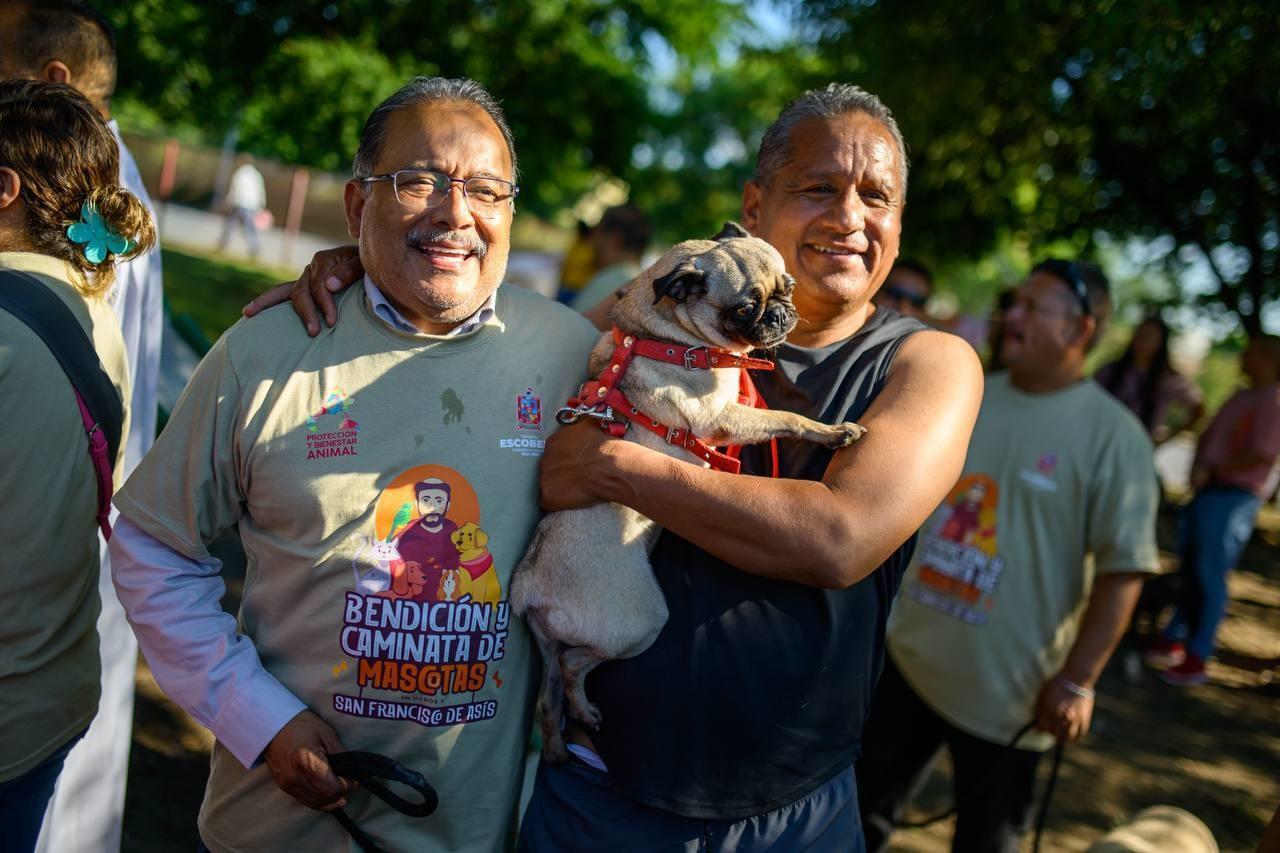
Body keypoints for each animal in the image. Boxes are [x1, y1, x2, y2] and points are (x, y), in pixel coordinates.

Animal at [504, 219, 865, 758]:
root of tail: (530, 582)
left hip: (547, 647)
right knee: (573, 665)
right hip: (642, 622)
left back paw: (562, 736)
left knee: (551, 693)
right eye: (745, 308)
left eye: (788, 287)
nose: (781, 313)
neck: (667, 336)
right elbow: (787, 419)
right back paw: (585, 709)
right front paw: (832, 432)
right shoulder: (722, 418)